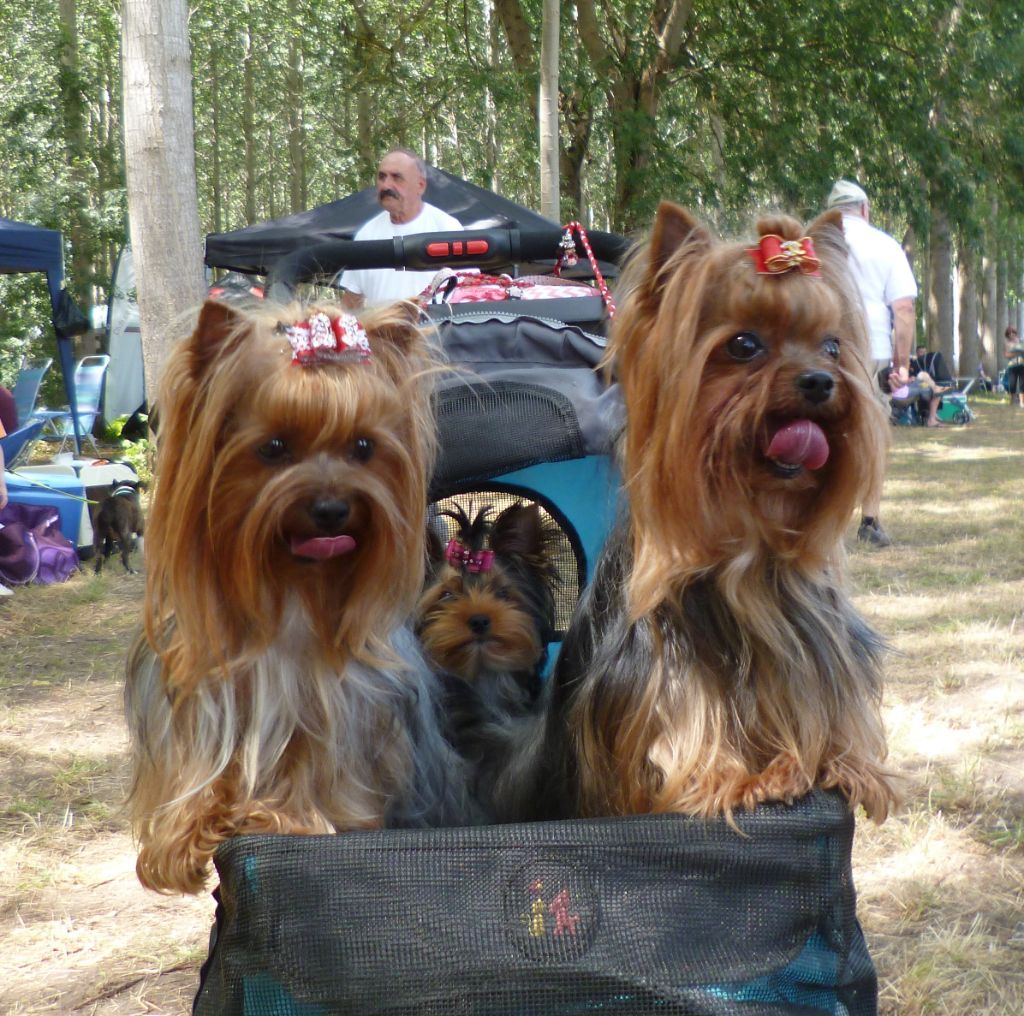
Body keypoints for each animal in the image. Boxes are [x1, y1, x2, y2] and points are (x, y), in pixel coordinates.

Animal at [122, 297, 468, 893]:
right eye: (274, 447)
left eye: (362, 446)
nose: (331, 507)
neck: (291, 588)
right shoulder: (206, 686)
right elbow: (201, 759)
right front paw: (186, 834)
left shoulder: (336, 703)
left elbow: (316, 760)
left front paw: (281, 814)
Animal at [499, 200, 901, 827]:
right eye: (743, 345)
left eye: (832, 346)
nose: (819, 380)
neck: (750, 537)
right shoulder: (661, 670)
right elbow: (688, 711)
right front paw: (733, 778)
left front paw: (845, 764)